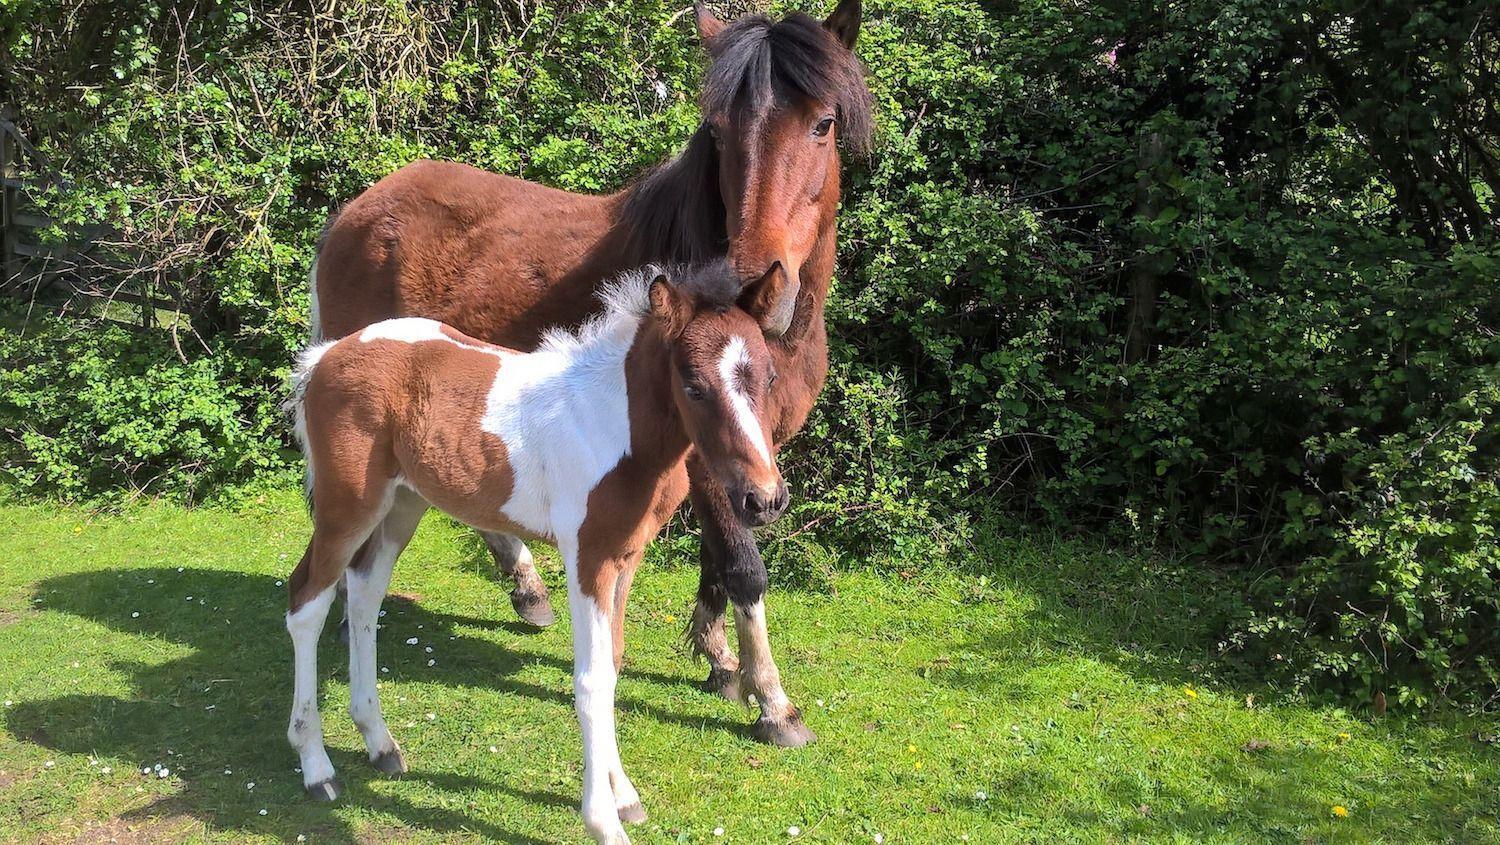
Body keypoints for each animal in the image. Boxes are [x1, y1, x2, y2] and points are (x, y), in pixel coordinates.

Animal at [285, 262, 787, 844]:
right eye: (694, 386)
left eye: (769, 379)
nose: (764, 499)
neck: (615, 430)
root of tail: (326, 356)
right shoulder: (587, 558)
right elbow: (590, 681)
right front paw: (603, 820)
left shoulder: (626, 557)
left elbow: (612, 663)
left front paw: (624, 794)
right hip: (347, 507)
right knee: (307, 602)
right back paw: (316, 767)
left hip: (402, 505)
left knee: (365, 596)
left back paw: (379, 742)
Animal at [311, 0, 871, 746]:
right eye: (719, 133)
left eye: (822, 123)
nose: (753, 282)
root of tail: (356, 210)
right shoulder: (706, 449)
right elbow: (743, 565)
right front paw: (773, 701)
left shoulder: (746, 447)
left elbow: (718, 560)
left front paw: (720, 661)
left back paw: (527, 588)